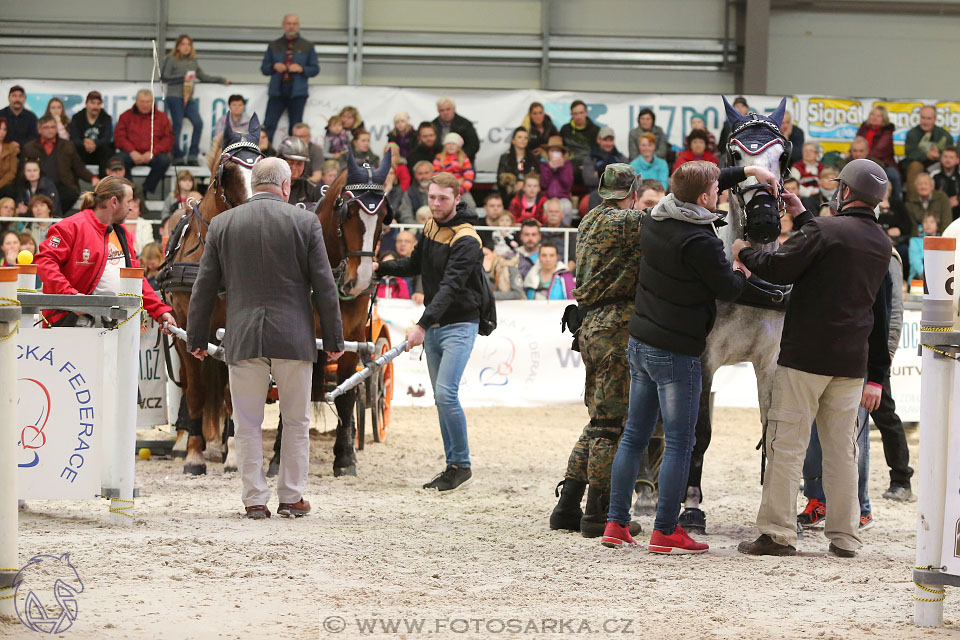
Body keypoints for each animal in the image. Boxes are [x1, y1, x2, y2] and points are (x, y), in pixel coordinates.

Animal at [161, 115, 264, 476]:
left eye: (263, 164)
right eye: (228, 170)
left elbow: (233, 394)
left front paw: (234, 455)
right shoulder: (186, 328)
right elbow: (196, 392)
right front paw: (194, 454)